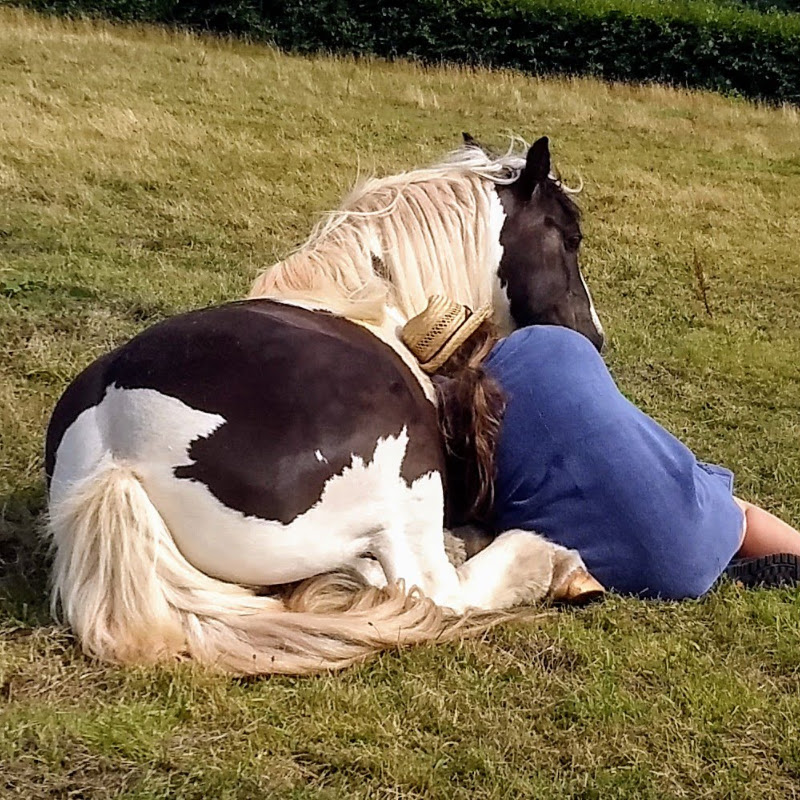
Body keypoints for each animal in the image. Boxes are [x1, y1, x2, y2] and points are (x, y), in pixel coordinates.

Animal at [45, 136, 604, 674]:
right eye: (571, 237)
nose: (593, 336)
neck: (363, 300)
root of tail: (120, 459)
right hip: (410, 493)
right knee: (437, 590)